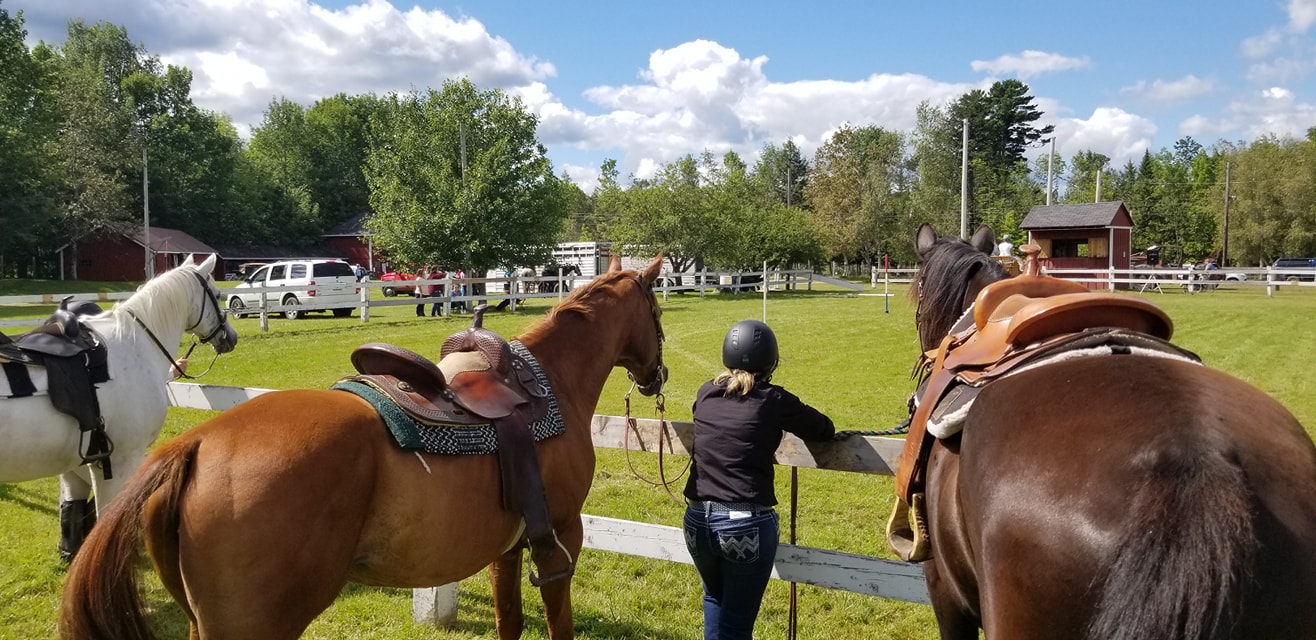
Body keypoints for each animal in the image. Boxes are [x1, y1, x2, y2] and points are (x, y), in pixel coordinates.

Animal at [60, 255, 668, 640]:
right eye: (658, 312)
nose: (658, 376)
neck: (549, 384)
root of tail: (195, 443)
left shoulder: (509, 546)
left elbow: (509, 622)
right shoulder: (561, 538)